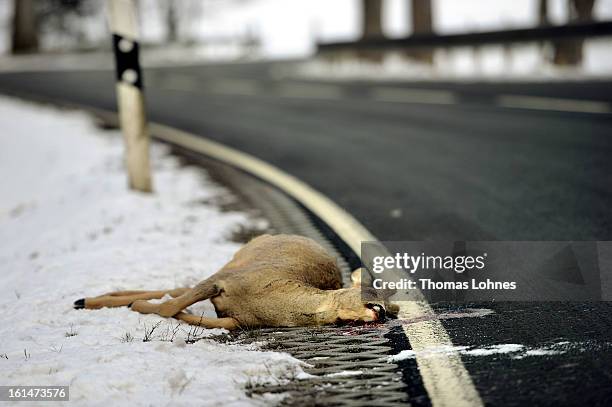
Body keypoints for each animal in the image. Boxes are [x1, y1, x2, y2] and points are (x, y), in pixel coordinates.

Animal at [74, 234, 396, 330]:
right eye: (373, 300)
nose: (383, 313)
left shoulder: (236, 321)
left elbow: (182, 312)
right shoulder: (223, 280)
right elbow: (168, 308)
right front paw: (137, 305)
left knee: (177, 289)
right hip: (234, 262)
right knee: (179, 289)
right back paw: (91, 299)